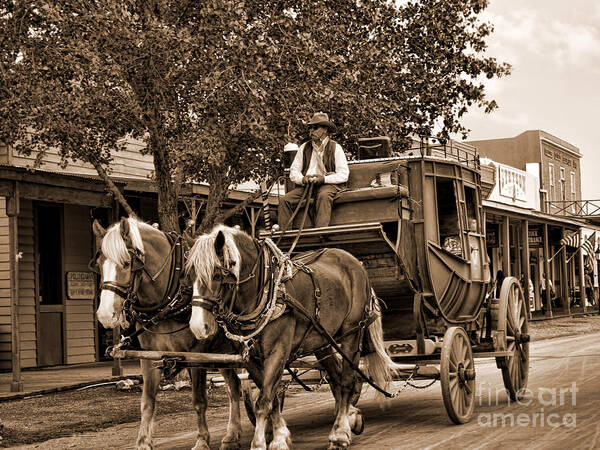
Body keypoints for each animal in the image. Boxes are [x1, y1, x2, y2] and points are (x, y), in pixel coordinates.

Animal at [91, 218, 244, 450]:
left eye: (126, 263)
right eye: (100, 264)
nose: (105, 315)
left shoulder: (196, 356)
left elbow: (199, 400)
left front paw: (202, 440)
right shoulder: (149, 355)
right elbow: (147, 401)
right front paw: (143, 442)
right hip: (223, 352)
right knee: (235, 386)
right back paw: (232, 434)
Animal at [185, 225, 396, 450]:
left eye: (217, 275)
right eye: (190, 275)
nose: (198, 326)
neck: (265, 290)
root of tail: (355, 262)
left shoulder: (277, 351)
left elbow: (263, 401)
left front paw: (260, 443)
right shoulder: (250, 357)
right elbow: (271, 397)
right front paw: (280, 436)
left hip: (352, 333)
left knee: (347, 380)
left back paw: (340, 432)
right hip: (323, 340)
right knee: (336, 378)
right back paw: (350, 418)